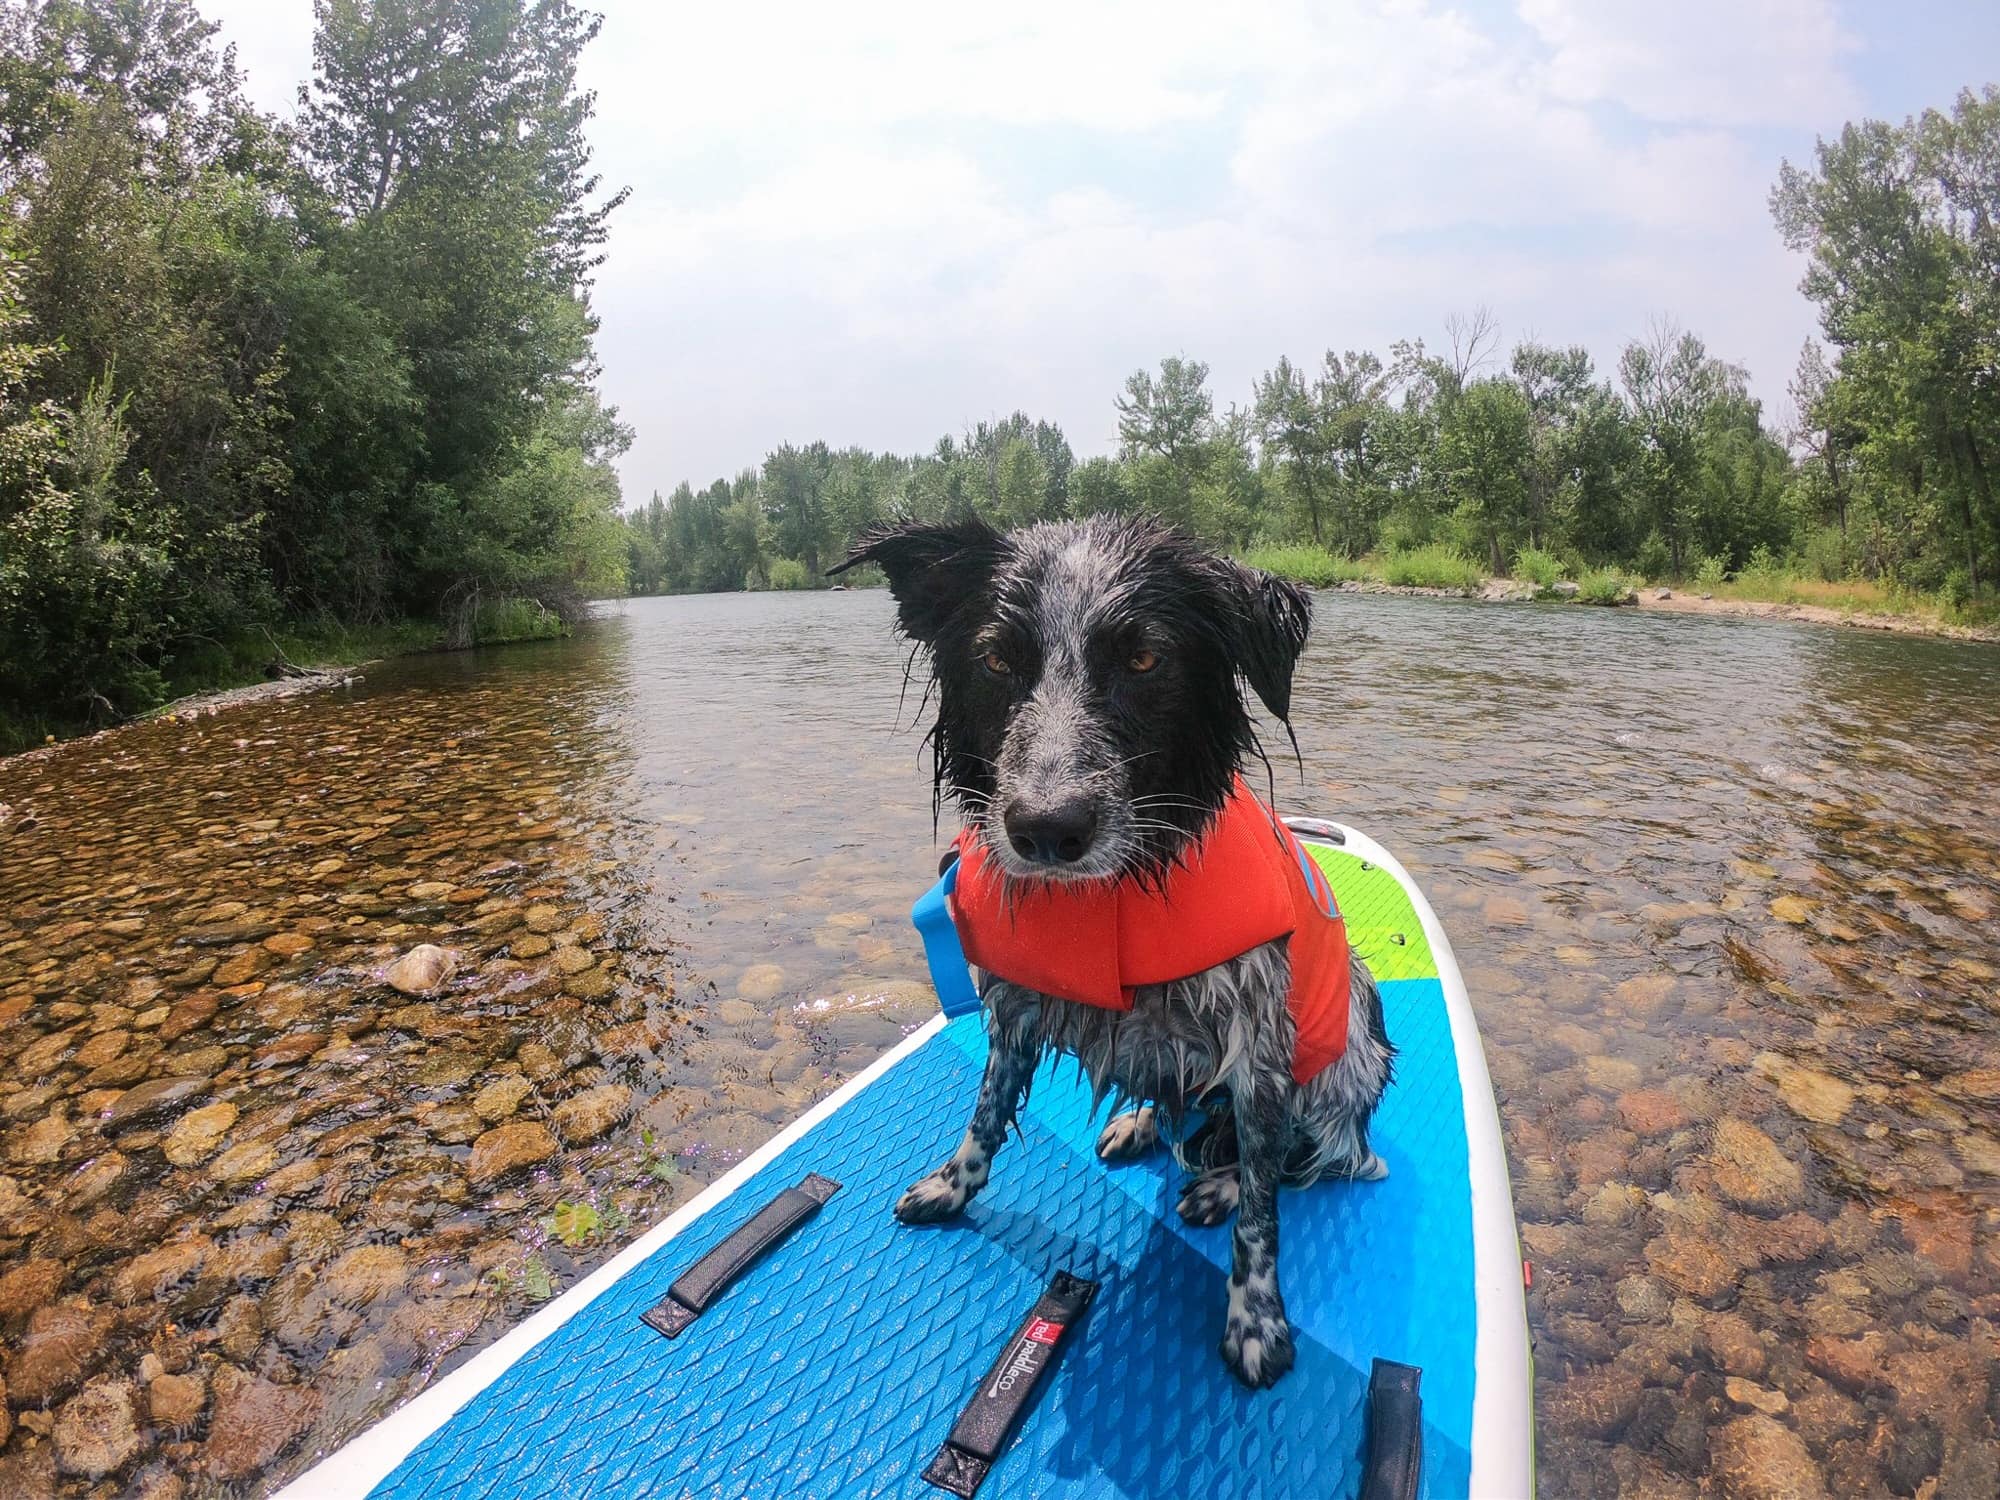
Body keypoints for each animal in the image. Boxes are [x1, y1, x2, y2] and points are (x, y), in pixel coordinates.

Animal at [840, 520, 1392, 1400]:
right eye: (996, 659)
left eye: (1143, 659)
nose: (1046, 829)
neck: (1118, 891)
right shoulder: (1016, 1005)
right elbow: (985, 1113)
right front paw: (951, 1187)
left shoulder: (1260, 1037)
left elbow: (1264, 1209)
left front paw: (1255, 1322)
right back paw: (1141, 1124)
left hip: (1352, 1049)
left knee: (1324, 1154)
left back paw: (1222, 1180)